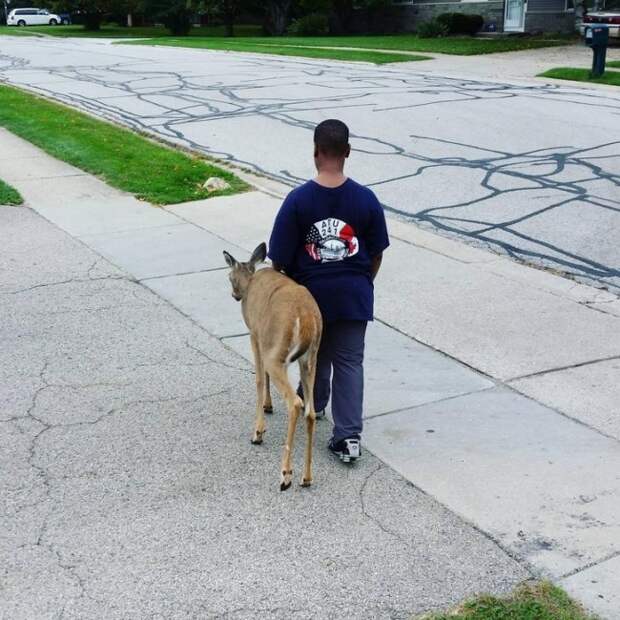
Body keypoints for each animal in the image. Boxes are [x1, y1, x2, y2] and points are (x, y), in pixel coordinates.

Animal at [223, 242, 322, 490]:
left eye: (229, 277)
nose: (234, 295)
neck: (250, 280)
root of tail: (307, 318)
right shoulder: (265, 342)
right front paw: (268, 406)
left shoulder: (255, 334)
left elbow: (259, 378)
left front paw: (258, 431)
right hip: (310, 358)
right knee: (310, 411)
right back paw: (306, 477)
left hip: (278, 352)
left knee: (295, 403)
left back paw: (285, 474)